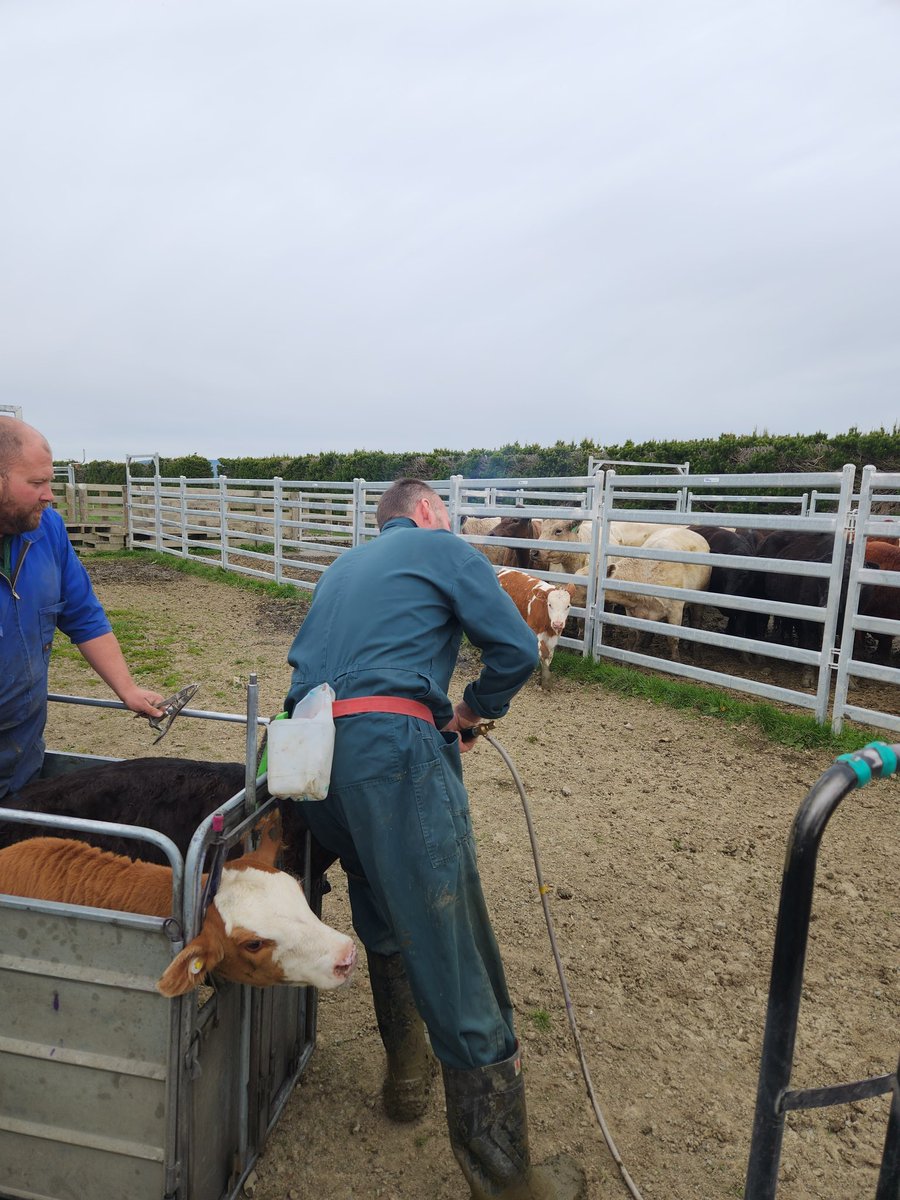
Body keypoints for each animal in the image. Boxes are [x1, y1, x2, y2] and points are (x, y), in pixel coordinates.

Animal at [605, 527, 711, 661]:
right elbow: (632, 635)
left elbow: (672, 639)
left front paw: (676, 660)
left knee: (696, 621)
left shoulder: (676, 610)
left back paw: (696, 653)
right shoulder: (630, 610)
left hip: (701, 596)